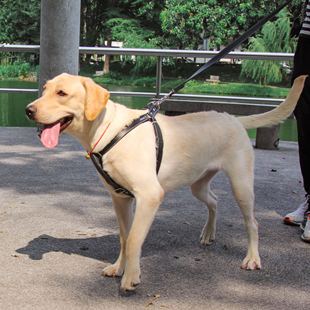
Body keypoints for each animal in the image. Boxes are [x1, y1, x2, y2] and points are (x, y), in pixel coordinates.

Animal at [26, 72, 306, 290]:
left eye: (62, 93)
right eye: (44, 89)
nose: (28, 110)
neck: (111, 130)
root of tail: (233, 118)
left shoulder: (149, 196)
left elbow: (134, 239)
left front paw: (131, 277)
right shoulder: (120, 198)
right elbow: (124, 238)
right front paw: (118, 267)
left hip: (241, 184)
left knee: (252, 223)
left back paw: (252, 258)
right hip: (198, 184)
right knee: (214, 201)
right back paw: (208, 233)